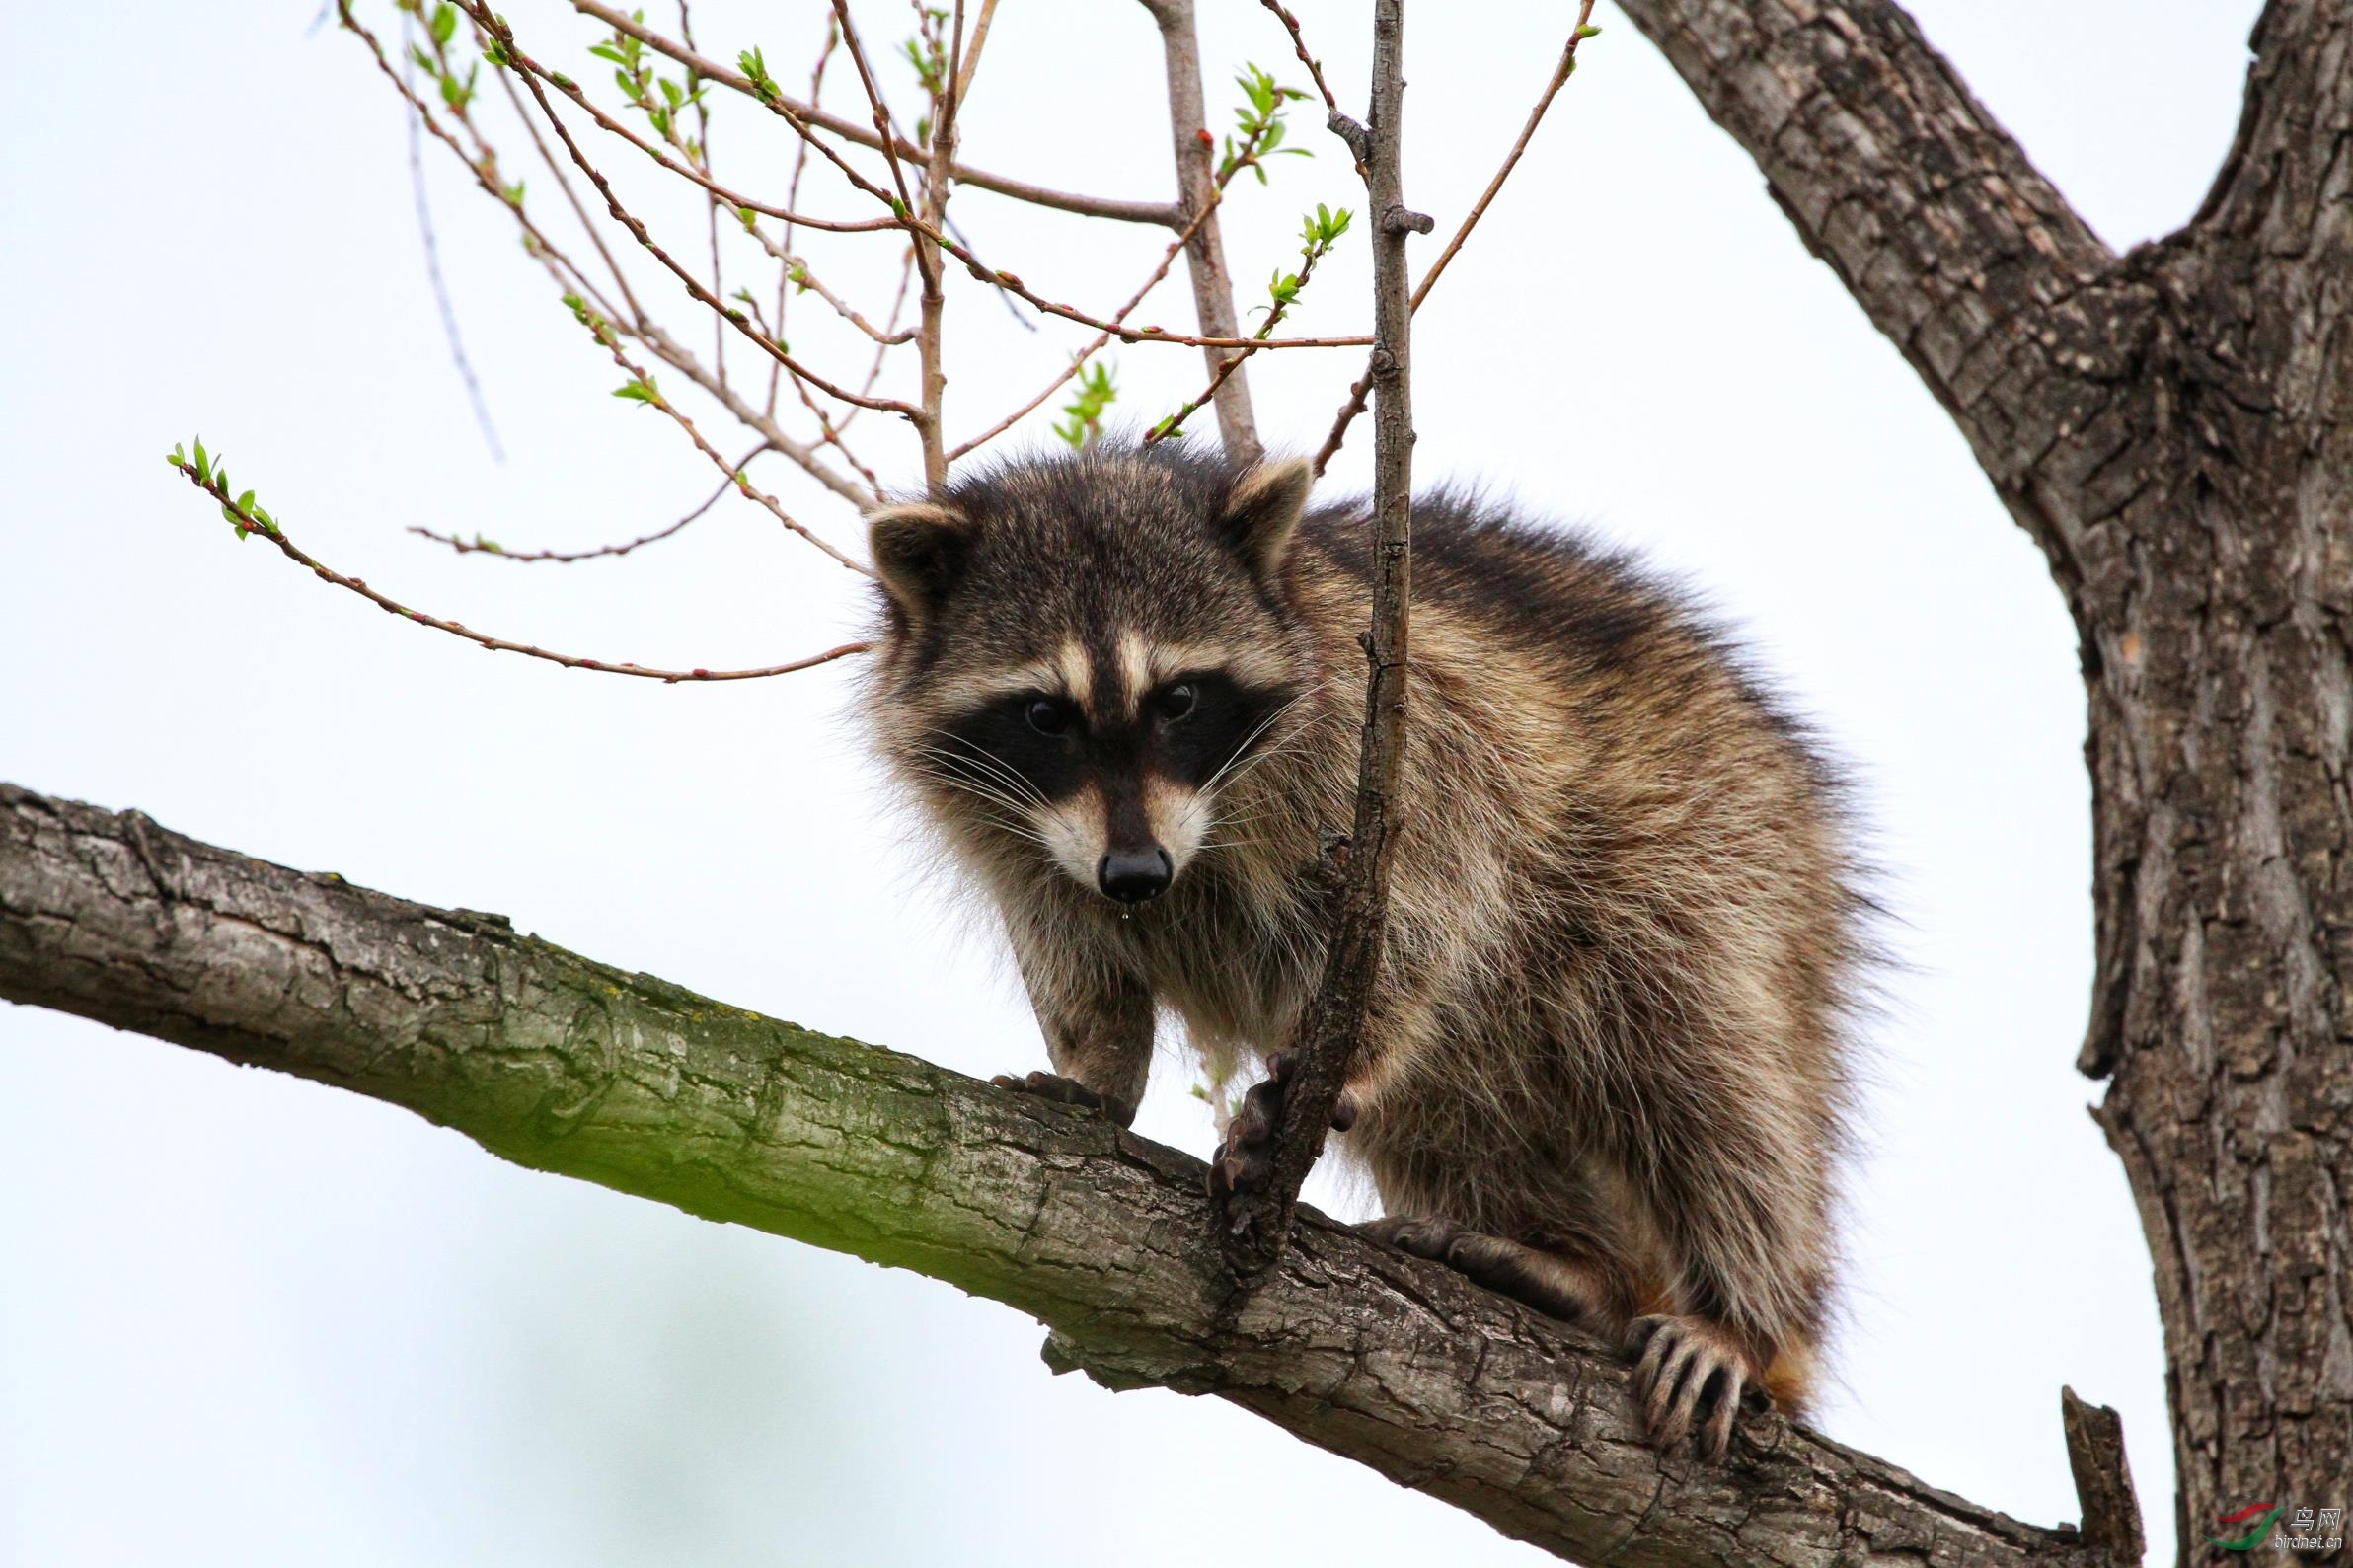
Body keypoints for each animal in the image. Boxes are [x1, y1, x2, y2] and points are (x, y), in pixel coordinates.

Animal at [856, 441, 1863, 1457]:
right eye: (1044, 715)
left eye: (1179, 698)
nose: (1136, 874)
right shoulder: (1014, 826)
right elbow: (1068, 939)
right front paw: (1099, 1064)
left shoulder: (1407, 732)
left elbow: (1430, 904)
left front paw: (1326, 1060)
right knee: (1455, 1111)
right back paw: (1577, 1261)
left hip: (1708, 852)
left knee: (1704, 1066)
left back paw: (1746, 1310)